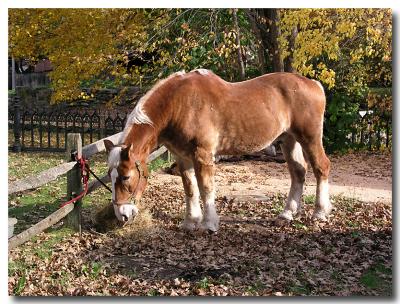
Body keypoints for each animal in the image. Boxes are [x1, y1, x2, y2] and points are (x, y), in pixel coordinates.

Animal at [103, 68, 332, 230]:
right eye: (110, 175)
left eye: (125, 177)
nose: (121, 214)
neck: (179, 104)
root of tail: (314, 84)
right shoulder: (182, 157)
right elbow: (190, 188)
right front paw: (190, 221)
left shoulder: (202, 154)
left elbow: (205, 188)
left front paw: (209, 224)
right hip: (288, 139)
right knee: (298, 172)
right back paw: (287, 214)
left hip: (309, 138)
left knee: (321, 167)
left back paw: (319, 213)